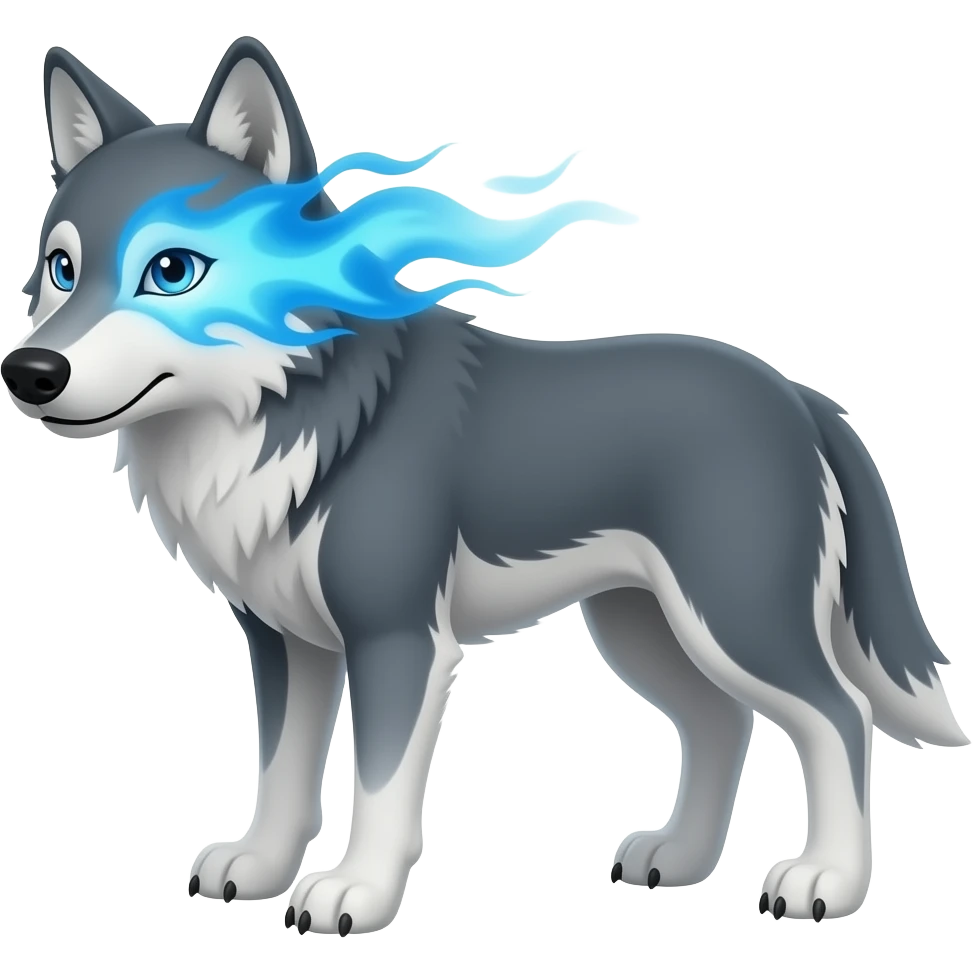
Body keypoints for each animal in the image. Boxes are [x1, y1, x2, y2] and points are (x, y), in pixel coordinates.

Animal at [3, 37, 966, 937]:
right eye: (60, 269)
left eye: (171, 270)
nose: (30, 371)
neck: (294, 412)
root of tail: (799, 395)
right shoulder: (286, 643)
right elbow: (280, 772)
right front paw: (260, 867)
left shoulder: (398, 638)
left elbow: (379, 787)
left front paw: (355, 893)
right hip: (645, 629)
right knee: (722, 723)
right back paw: (680, 858)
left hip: (733, 619)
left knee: (838, 716)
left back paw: (826, 881)